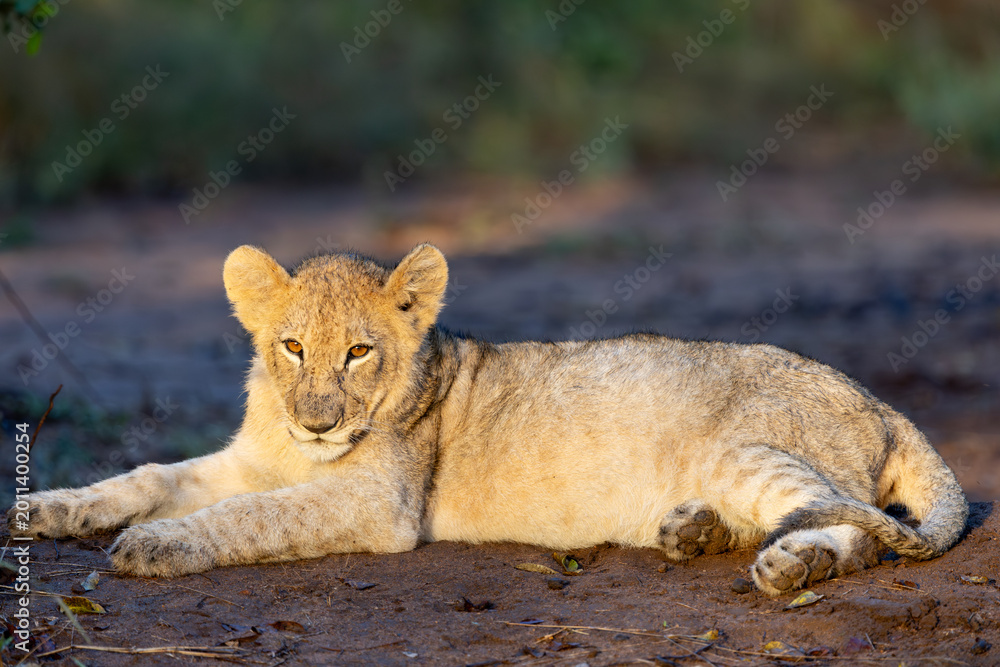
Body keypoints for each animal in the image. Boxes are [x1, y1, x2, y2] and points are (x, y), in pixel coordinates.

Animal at [8, 243, 968, 596]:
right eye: (291, 345)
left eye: (359, 353)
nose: (317, 423)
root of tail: (881, 401)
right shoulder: (247, 460)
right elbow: (146, 477)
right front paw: (39, 508)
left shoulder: (380, 506)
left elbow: (250, 516)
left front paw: (153, 546)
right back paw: (688, 530)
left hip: (752, 451)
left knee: (864, 528)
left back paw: (787, 564)